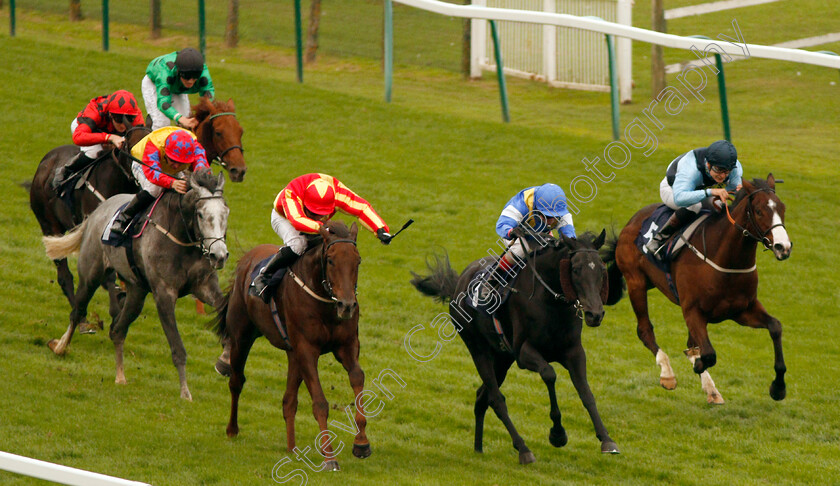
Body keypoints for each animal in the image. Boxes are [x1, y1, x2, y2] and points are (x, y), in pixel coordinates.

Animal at [41, 169, 228, 400]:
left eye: (226, 213)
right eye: (201, 214)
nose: (219, 255)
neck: (183, 237)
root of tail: (97, 212)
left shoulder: (204, 287)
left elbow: (226, 310)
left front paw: (226, 359)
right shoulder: (164, 294)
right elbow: (178, 349)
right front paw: (185, 393)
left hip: (137, 292)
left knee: (117, 331)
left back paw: (120, 376)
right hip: (90, 275)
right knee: (77, 312)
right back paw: (60, 347)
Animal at [213, 222, 370, 472]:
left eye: (358, 260)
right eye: (331, 260)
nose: (347, 306)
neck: (325, 302)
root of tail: (247, 258)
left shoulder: (346, 346)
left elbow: (357, 378)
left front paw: (361, 443)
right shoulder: (307, 350)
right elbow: (320, 402)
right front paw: (329, 456)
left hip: (292, 354)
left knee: (289, 401)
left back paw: (292, 448)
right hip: (242, 337)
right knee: (236, 382)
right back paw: (232, 430)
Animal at [410, 230, 620, 466]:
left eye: (601, 270)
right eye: (575, 270)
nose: (595, 314)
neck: (551, 302)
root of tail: (459, 283)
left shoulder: (574, 352)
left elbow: (586, 393)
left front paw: (607, 440)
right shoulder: (523, 353)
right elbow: (549, 374)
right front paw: (557, 434)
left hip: (501, 359)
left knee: (482, 397)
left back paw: (478, 448)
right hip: (478, 350)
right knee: (496, 399)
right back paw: (523, 449)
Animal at [604, 174, 796, 402]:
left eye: (782, 208)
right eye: (758, 211)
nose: (783, 247)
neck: (726, 261)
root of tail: (631, 223)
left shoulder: (742, 310)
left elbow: (775, 327)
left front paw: (778, 387)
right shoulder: (693, 311)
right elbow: (708, 354)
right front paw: (697, 365)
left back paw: (711, 389)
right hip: (636, 282)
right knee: (644, 330)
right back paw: (668, 375)